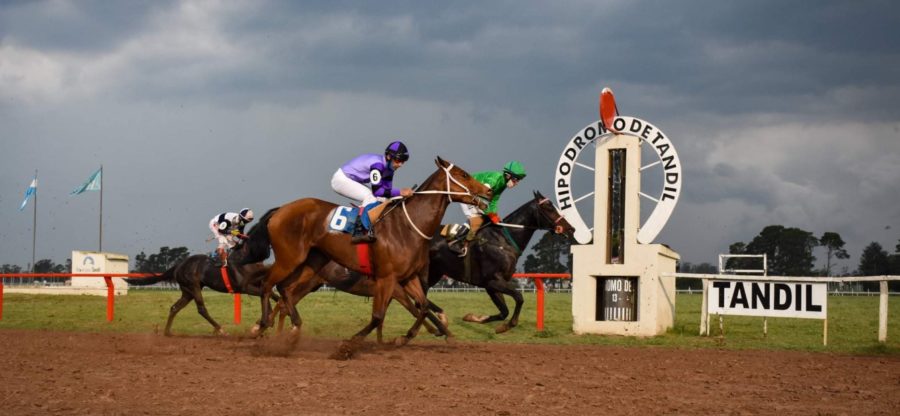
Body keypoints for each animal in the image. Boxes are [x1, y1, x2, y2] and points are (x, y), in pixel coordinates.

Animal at [124, 245, 274, 336]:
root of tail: (179, 265)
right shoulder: (244, 287)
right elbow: (265, 294)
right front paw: (263, 322)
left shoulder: (259, 284)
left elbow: (271, 294)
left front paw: (265, 321)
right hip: (193, 287)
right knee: (201, 309)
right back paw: (220, 329)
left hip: (187, 292)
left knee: (174, 308)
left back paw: (168, 332)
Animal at [243, 156, 488, 358]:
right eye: (463, 175)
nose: (487, 191)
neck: (408, 227)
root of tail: (281, 209)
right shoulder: (387, 279)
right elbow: (379, 316)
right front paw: (348, 346)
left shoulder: (407, 278)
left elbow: (423, 306)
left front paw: (404, 338)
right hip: (290, 258)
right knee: (268, 285)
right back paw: (261, 327)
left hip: (312, 263)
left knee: (284, 290)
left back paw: (291, 333)